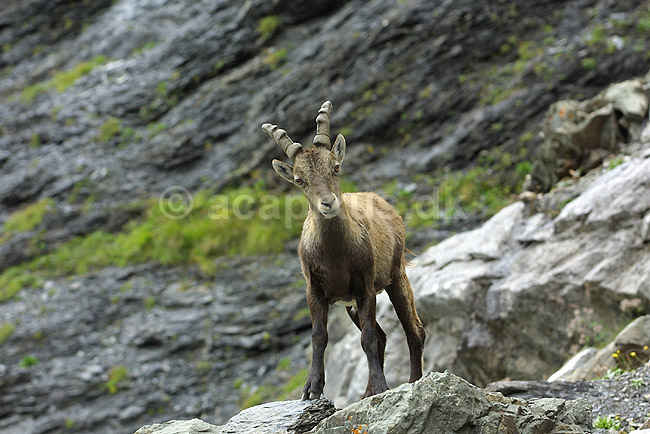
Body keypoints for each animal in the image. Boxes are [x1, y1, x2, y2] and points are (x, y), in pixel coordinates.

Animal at [262, 101, 425, 400]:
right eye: (299, 180)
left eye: (335, 167)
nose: (328, 203)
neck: (336, 254)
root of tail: (380, 201)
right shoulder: (314, 290)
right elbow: (319, 337)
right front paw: (312, 388)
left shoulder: (365, 286)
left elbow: (367, 338)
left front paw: (382, 386)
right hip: (351, 305)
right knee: (384, 336)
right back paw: (367, 392)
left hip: (395, 276)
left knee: (413, 332)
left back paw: (411, 382)